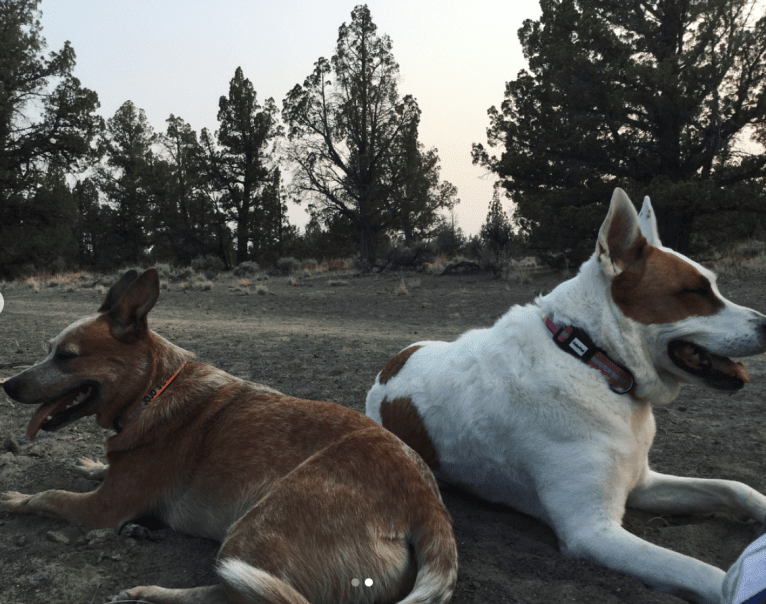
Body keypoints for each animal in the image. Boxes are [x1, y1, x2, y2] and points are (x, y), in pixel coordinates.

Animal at [1, 270, 456, 604]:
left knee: (238, 594)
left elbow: (48, 497)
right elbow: (98, 469)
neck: (152, 391)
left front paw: (14, 499)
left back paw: (149, 594)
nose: (7, 384)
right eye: (48, 349)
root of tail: (428, 503)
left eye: (66, 356)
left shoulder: (104, 509)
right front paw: (91, 463)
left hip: (256, 526)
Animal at [366, 189, 766, 604]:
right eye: (695, 292)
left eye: (713, 287)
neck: (594, 359)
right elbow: (711, 576)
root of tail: (391, 365)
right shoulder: (591, 530)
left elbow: (734, 488)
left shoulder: (641, 483)